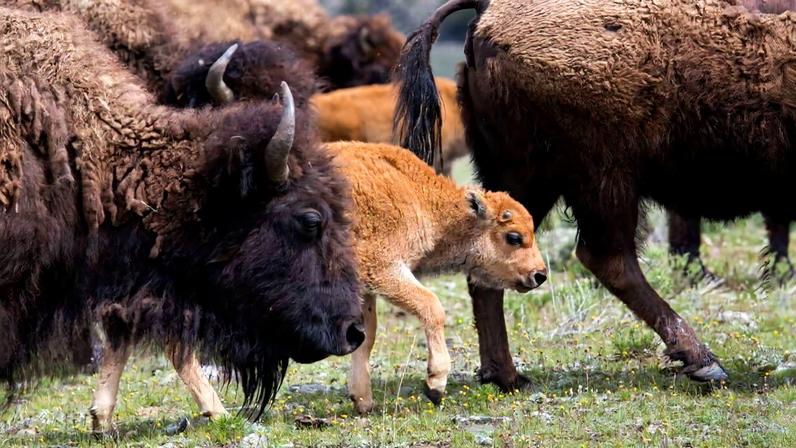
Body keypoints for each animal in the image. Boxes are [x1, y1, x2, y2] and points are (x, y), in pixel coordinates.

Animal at [395, 0, 796, 389]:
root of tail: (486, 10)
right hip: (603, 179)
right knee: (610, 258)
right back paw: (703, 362)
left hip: (534, 182)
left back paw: (507, 377)